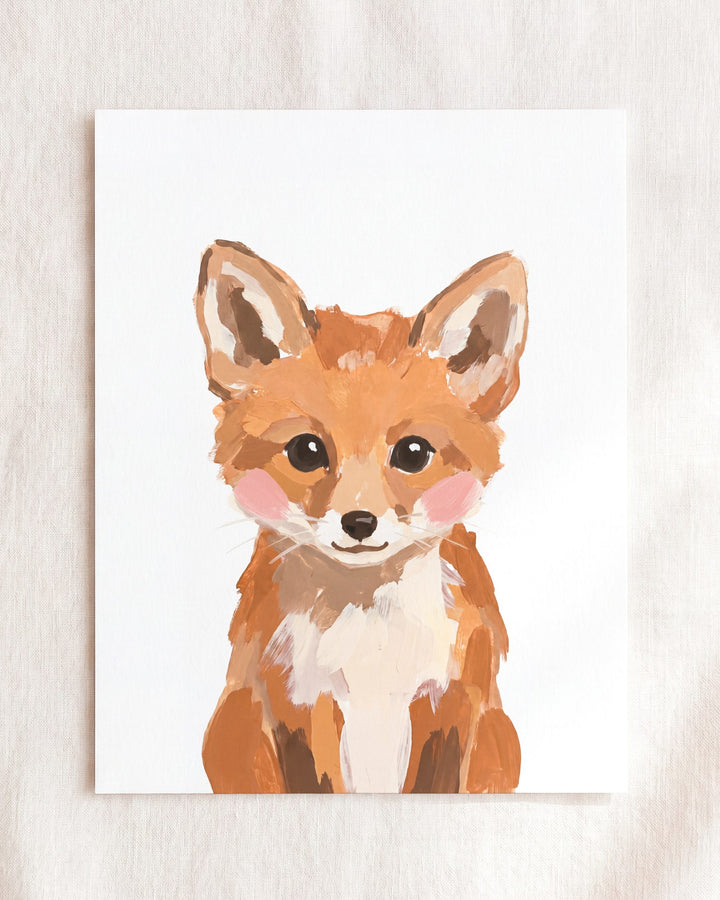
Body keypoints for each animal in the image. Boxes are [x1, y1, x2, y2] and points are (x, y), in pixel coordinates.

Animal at [194, 239, 528, 793]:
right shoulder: (307, 712)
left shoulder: (452, 711)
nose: (359, 522)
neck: (369, 646)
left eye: (413, 453)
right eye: (306, 450)